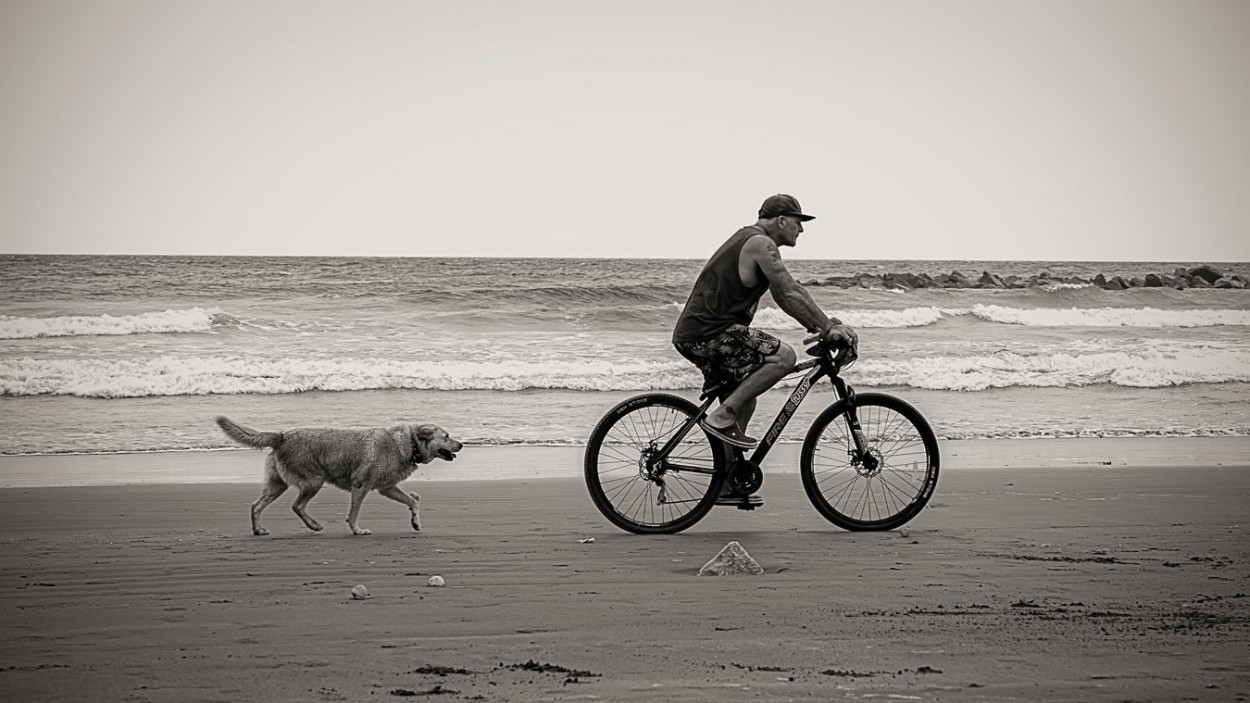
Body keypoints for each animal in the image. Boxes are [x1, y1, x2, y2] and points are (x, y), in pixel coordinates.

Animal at [215, 412, 465, 532]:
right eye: (446, 436)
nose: (462, 444)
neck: (409, 443)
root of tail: (282, 435)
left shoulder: (387, 487)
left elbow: (413, 501)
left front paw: (415, 522)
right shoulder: (361, 486)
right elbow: (353, 514)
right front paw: (357, 530)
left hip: (278, 484)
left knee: (256, 506)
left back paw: (259, 530)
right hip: (313, 481)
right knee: (297, 505)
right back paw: (313, 525)